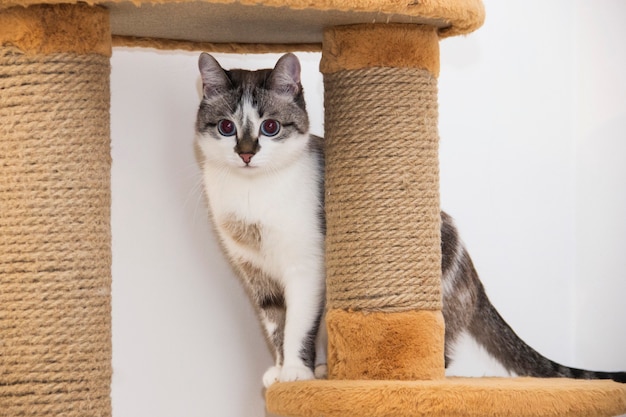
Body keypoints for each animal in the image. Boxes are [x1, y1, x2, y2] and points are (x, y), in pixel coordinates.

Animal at [193, 52, 620, 386]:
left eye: (271, 127)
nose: (246, 153)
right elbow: (275, 323)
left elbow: (298, 321)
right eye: (227, 127)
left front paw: (296, 372)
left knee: (439, 358)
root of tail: (474, 279)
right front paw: (280, 369)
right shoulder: (254, 270)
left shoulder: (308, 265)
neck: (253, 193)